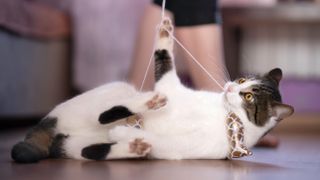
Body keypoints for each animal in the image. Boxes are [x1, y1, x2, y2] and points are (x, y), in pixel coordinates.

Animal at [11, 18, 294, 163]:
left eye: (249, 95)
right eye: (243, 78)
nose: (230, 86)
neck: (223, 114)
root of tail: (49, 124)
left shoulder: (180, 148)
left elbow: (157, 139)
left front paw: (126, 133)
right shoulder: (171, 87)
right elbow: (165, 58)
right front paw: (166, 31)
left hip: (77, 142)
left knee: (94, 143)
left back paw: (133, 142)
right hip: (116, 89)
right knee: (104, 114)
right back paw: (145, 107)